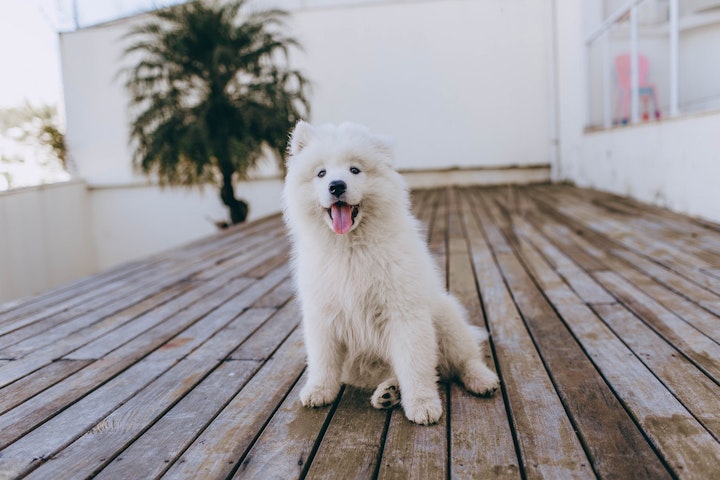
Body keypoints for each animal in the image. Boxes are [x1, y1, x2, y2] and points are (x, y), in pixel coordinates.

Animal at [282, 122, 500, 426]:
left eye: (354, 170)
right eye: (321, 173)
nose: (336, 186)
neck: (351, 248)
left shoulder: (404, 314)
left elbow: (415, 365)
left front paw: (423, 404)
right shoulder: (323, 315)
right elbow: (322, 360)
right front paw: (318, 390)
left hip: (447, 320)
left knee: (463, 360)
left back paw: (482, 381)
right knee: (402, 372)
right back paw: (389, 392)